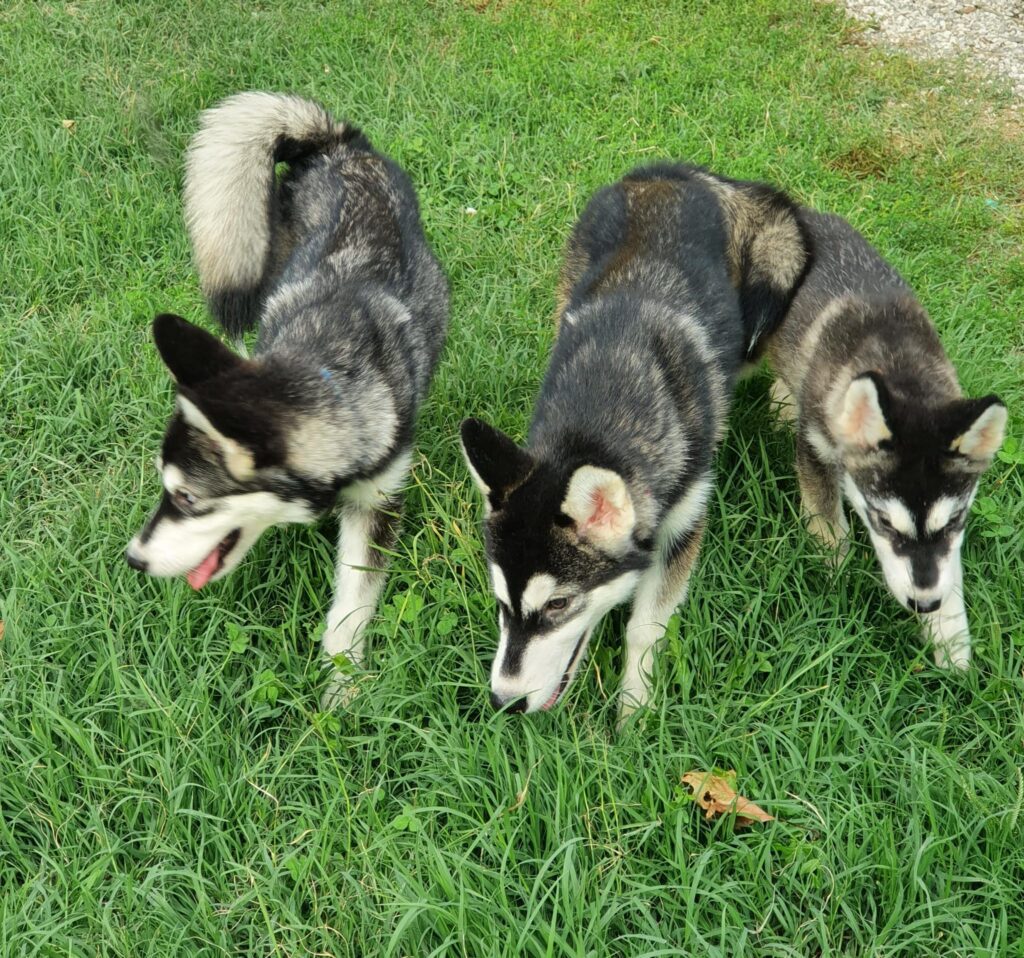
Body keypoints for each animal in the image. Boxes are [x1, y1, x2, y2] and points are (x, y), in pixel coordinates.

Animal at [123, 91, 448, 704]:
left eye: (187, 499)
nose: (132, 560)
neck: (325, 361)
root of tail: (336, 142)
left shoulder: (379, 496)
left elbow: (354, 598)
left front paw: (343, 685)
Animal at [462, 164, 806, 720]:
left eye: (558, 604)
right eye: (500, 604)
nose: (502, 701)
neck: (604, 406)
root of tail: (674, 171)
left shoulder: (684, 521)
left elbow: (646, 628)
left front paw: (634, 712)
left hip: (758, 309)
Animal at [765, 212, 1003, 671]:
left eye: (954, 521)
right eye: (884, 522)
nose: (924, 605)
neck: (897, 367)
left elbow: (947, 568)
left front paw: (950, 638)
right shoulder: (816, 447)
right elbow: (827, 520)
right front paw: (834, 570)